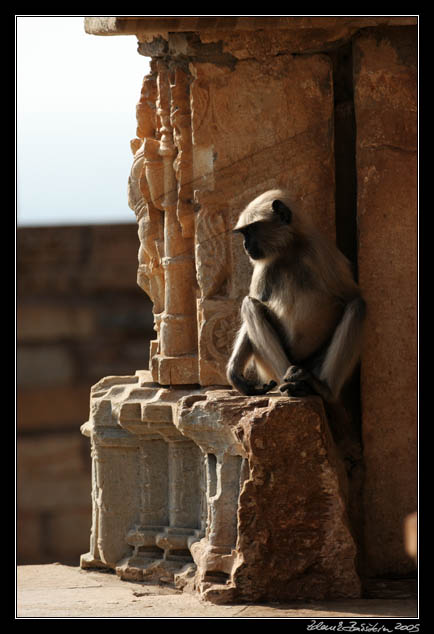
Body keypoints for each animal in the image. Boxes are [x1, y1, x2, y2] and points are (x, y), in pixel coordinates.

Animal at [227, 188, 366, 402]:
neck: (288, 251)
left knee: (357, 306)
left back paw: (321, 388)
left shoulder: (319, 252)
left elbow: (351, 297)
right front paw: (235, 374)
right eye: (244, 233)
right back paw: (292, 384)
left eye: (250, 231)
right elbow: (256, 301)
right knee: (249, 305)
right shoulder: (263, 267)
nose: (245, 245)